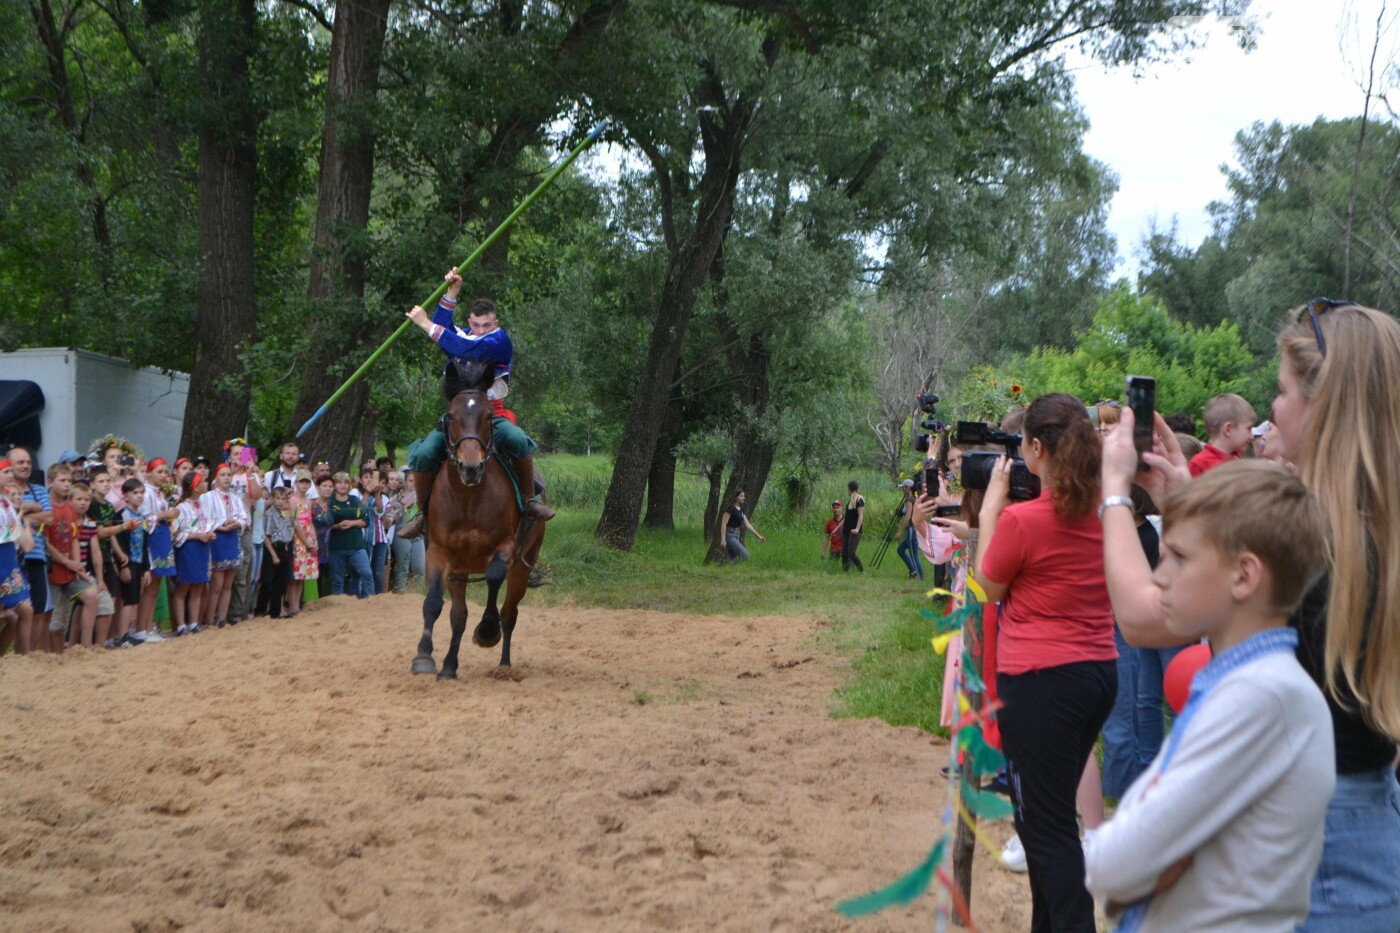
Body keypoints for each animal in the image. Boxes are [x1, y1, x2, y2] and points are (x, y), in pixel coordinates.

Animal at [411, 357, 543, 675]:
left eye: (488, 416)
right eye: (450, 416)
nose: (470, 468)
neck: (468, 500)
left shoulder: (506, 547)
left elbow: (494, 578)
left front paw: (486, 631)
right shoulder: (440, 553)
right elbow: (434, 603)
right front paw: (424, 656)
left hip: (523, 566)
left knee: (509, 613)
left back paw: (504, 663)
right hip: (460, 570)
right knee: (458, 615)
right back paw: (449, 667)